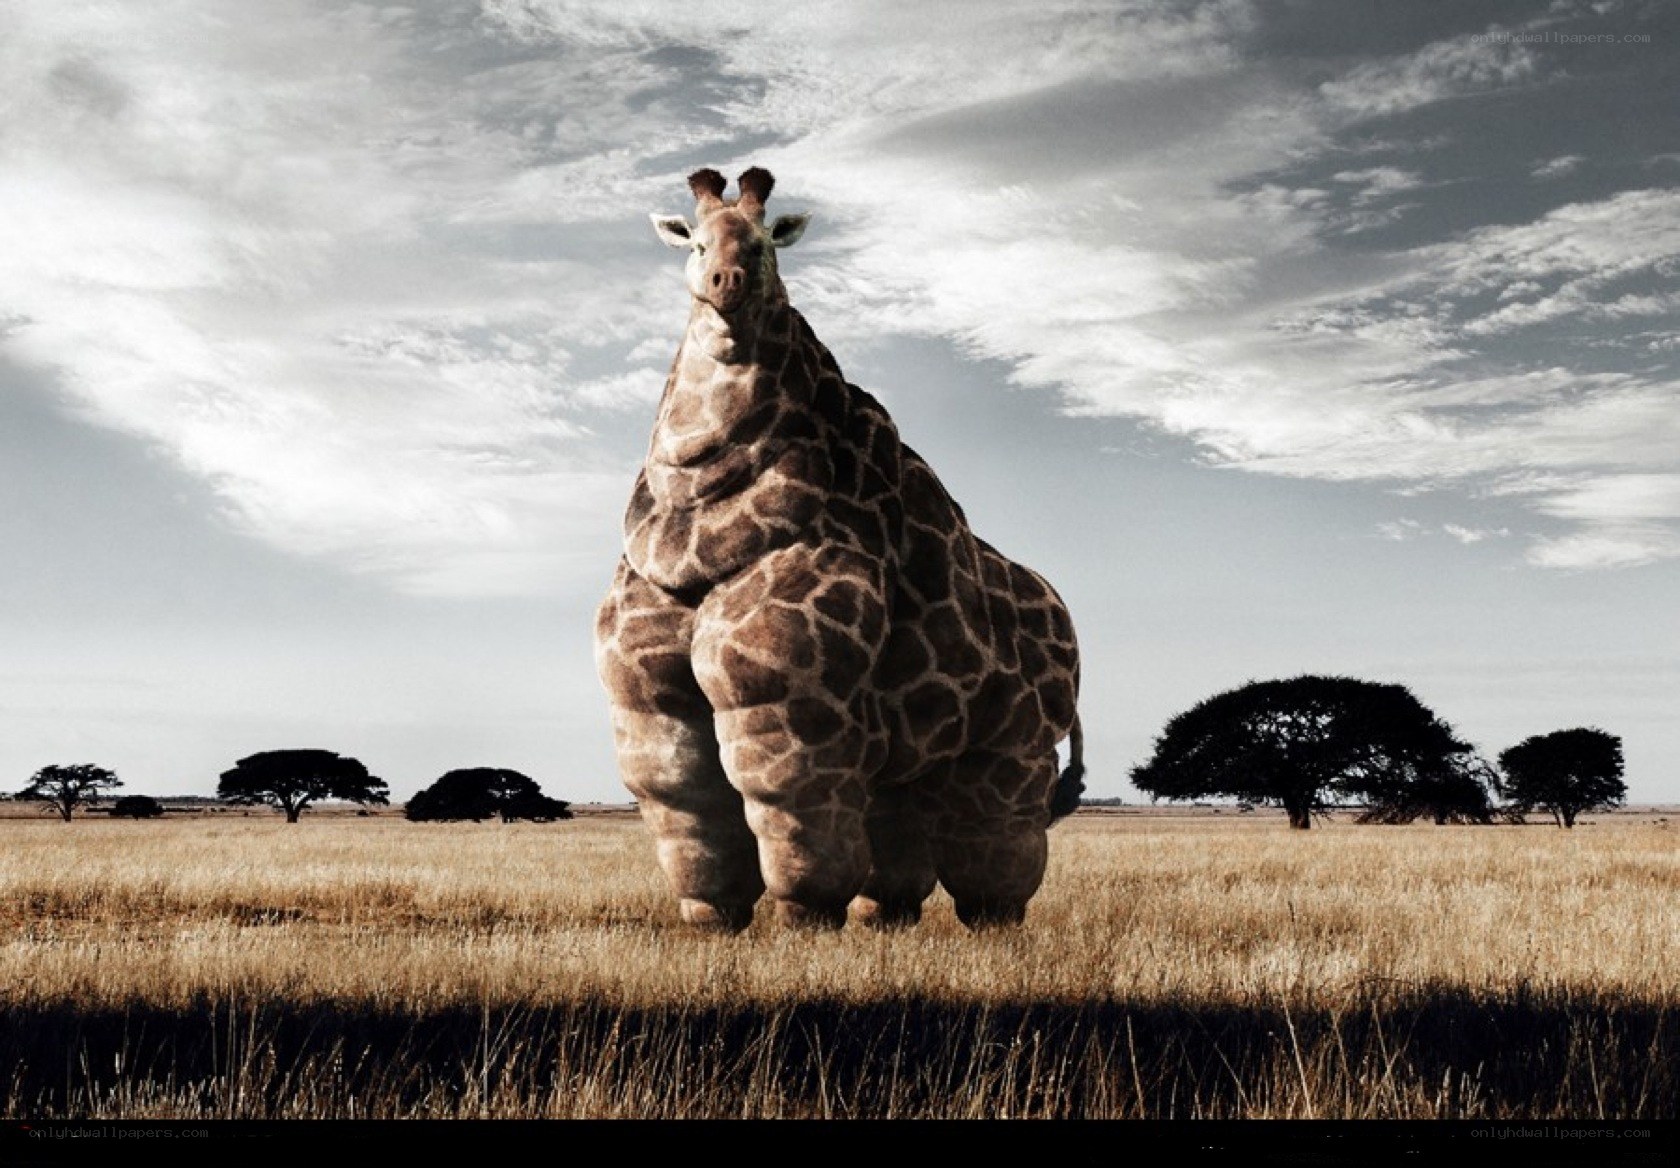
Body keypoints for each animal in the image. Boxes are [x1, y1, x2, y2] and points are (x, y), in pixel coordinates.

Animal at [594, 166, 1083, 931]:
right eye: (696, 242)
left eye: (766, 242)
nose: (727, 282)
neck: (696, 516)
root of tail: (1066, 620)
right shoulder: (647, 696)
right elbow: (685, 798)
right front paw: (712, 919)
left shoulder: (784, 689)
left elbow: (790, 804)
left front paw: (805, 921)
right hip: (918, 752)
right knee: (900, 841)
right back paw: (884, 917)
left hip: (1013, 740)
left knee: (996, 842)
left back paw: (992, 922)